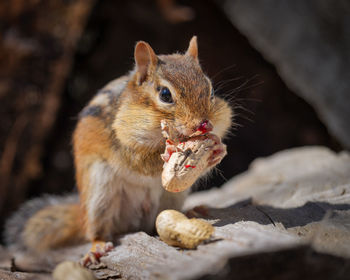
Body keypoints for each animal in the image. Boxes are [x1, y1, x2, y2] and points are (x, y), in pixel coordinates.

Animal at [4, 36, 232, 264]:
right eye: (165, 94)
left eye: (211, 90)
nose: (204, 124)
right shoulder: (121, 140)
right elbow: (139, 161)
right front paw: (167, 152)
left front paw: (218, 149)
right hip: (99, 193)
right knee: (96, 230)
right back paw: (97, 246)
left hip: (172, 196)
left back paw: (193, 211)